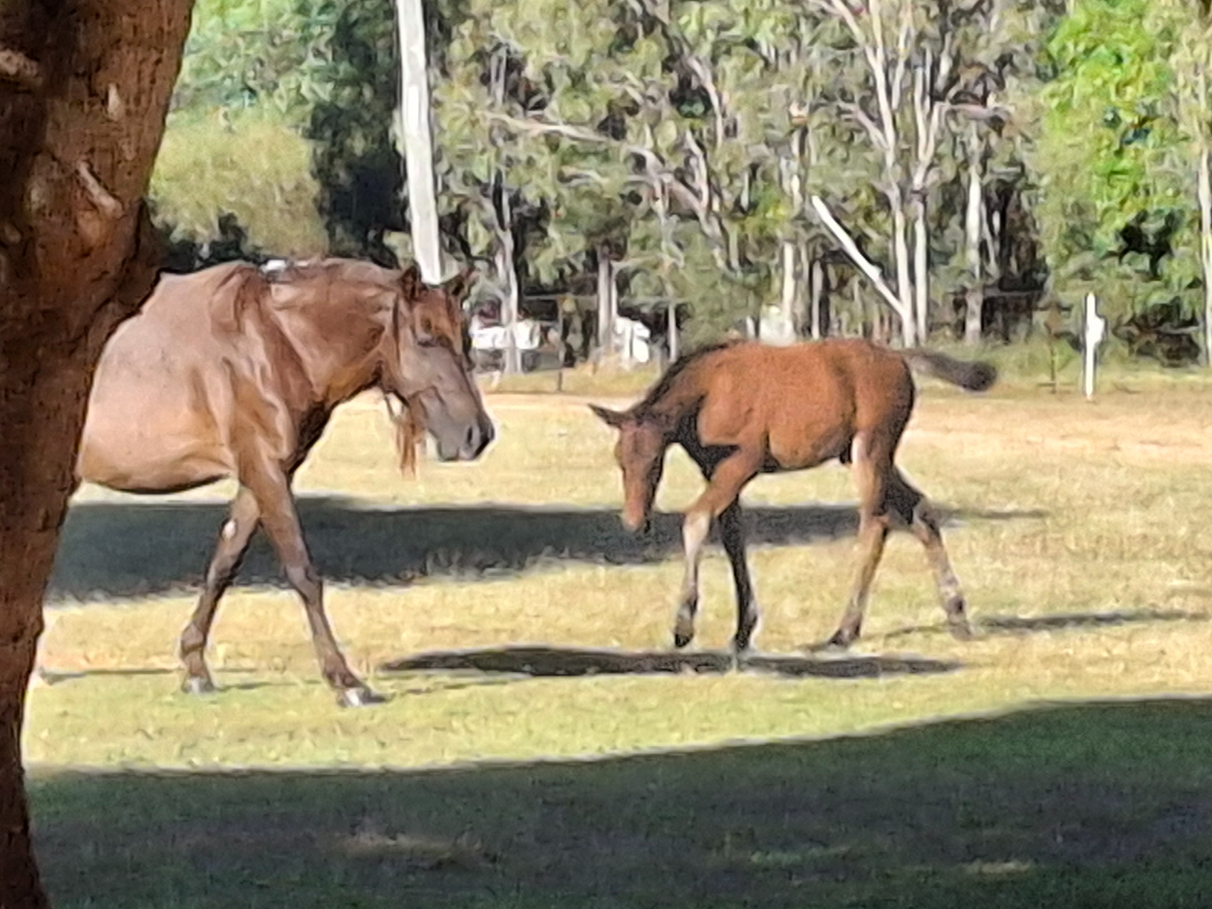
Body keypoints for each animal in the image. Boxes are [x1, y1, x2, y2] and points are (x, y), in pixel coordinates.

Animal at [76, 257, 495, 707]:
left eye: (466, 337)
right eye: (425, 337)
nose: (478, 435)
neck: (275, 340)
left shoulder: (262, 475)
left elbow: (223, 563)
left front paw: (195, 667)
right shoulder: (266, 469)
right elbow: (302, 572)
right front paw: (345, 681)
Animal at [589, 338, 997, 655]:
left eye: (655, 461)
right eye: (619, 459)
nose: (633, 521)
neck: (707, 393)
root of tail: (898, 357)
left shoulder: (745, 459)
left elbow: (697, 520)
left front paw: (683, 626)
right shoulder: (713, 467)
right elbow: (733, 538)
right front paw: (743, 630)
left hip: (872, 446)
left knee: (876, 522)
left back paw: (843, 631)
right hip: (858, 453)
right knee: (919, 509)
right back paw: (957, 615)